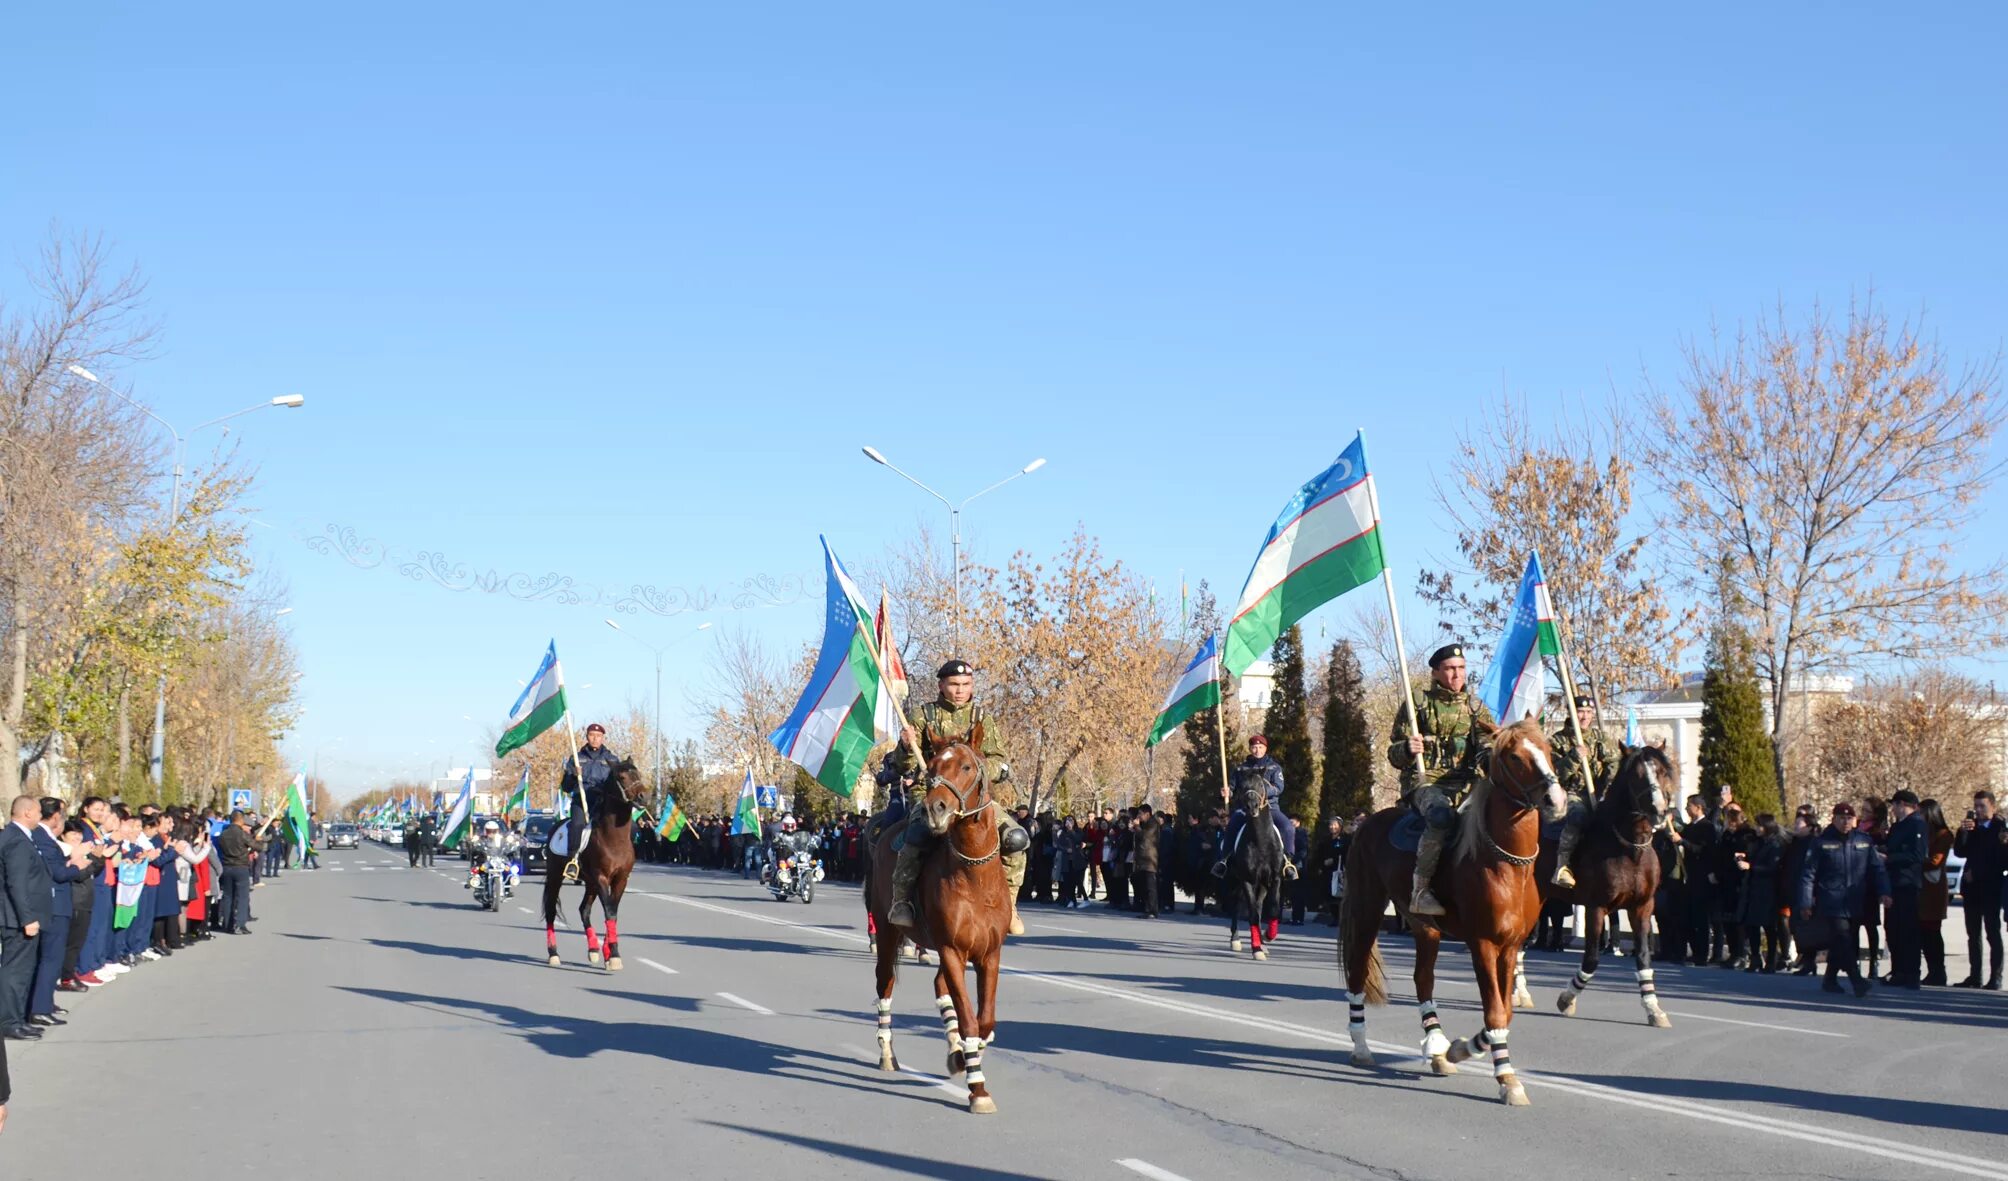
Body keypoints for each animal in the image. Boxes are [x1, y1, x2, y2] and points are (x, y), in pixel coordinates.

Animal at [542, 759, 642, 972]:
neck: (614, 838)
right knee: (551, 911)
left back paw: (594, 949)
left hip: (590, 883)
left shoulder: (620, 880)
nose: (643, 796)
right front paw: (614, 955)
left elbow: (612, 912)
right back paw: (553, 954)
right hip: (556, 876)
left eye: (639, 774)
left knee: (584, 910)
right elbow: (609, 911)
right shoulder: (601, 877)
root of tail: (555, 826)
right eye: (622, 777)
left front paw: (608, 953)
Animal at [867, 735, 1012, 1108]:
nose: (936, 809)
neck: (974, 875)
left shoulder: (990, 954)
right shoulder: (950, 949)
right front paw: (978, 1087)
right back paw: (887, 1053)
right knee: (885, 984)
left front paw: (965, 1056)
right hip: (887, 933)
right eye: (930, 767)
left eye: (966, 766)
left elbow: (984, 1020)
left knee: (939, 987)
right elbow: (969, 1020)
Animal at [1220, 783, 1285, 960]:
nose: (1251, 806)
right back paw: (1235, 939)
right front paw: (1256, 949)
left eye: (1261, 785)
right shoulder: (1246, 880)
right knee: (1236, 905)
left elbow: (1273, 910)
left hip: (1261, 885)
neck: (1261, 841)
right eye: (1243, 786)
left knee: (1259, 905)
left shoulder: (1274, 879)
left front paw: (1267, 937)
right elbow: (1252, 914)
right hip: (1235, 881)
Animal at [1341, 719, 1574, 1108]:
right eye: (1514, 756)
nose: (1555, 800)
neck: (1506, 864)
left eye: (1547, 749)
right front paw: (1506, 1079)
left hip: (1425, 927)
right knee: (1357, 972)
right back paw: (1360, 1046)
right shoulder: (1482, 944)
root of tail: (1367, 823)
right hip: (1367, 909)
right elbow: (1493, 1009)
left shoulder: (1511, 946)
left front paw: (1462, 1049)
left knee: (1423, 979)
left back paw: (1436, 1046)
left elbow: (1504, 1011)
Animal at [1518, 747, 1678, 1024]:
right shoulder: (1597, 907)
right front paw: (1567, 999)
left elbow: (1643, 957)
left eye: (1662, 771)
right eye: (1637, 775)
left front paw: (1654, 1009)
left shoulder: (1642, 907)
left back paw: (1520, 994)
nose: (1659, 808)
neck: (1629, 848)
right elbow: (1591, 958)